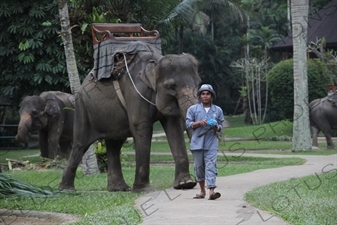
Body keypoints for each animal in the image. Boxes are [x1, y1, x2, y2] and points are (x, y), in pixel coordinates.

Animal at [58, 51, 201, 192]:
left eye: (198, 84)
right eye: (171, 86)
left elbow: (173, 128)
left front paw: (185, 184)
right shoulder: (135, 93)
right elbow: (142, 127)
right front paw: (143, 190)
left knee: (115, 144)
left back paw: (118, 188)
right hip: (82, 109)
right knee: (80, 144)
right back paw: (66, 189)